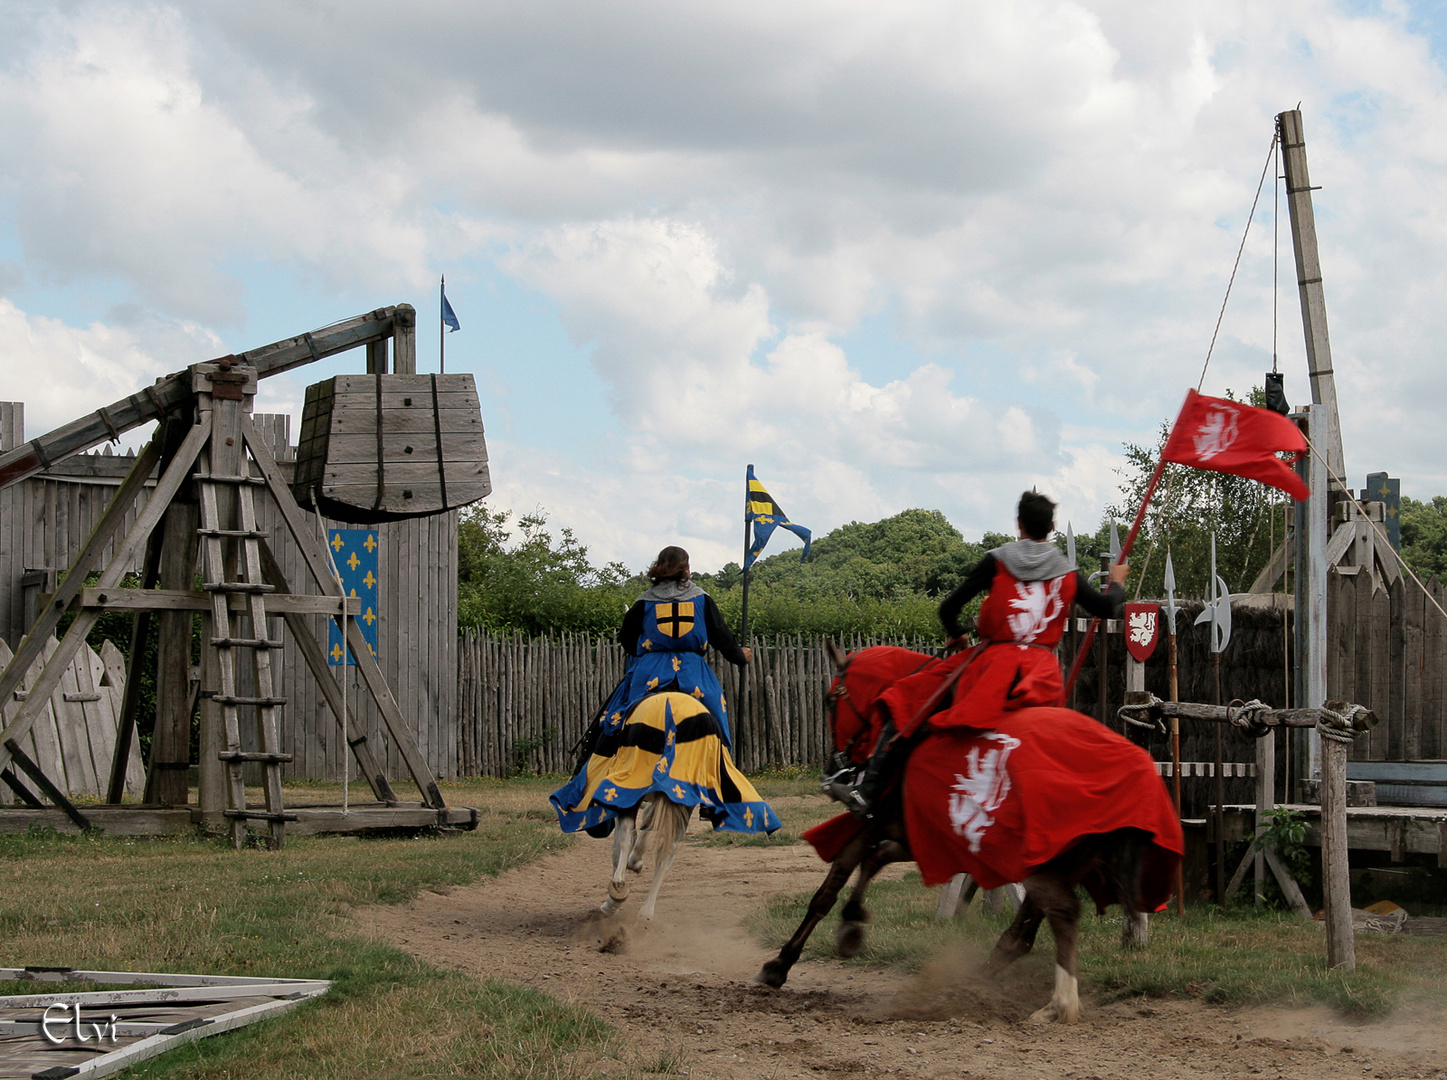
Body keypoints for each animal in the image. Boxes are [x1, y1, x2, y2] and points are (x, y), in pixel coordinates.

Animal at [752, 642, 1180, 1024]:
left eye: (830, 700)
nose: (837, 764)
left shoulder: (876, 824)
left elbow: (830, 887)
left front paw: (780, 963)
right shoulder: (920, 836)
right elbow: (874, 862)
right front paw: (851, 926)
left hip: (1037, 865)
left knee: (1062, 913)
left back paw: (1057, 1004)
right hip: (1066, 862)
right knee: (1022, 935)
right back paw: (972, 985)